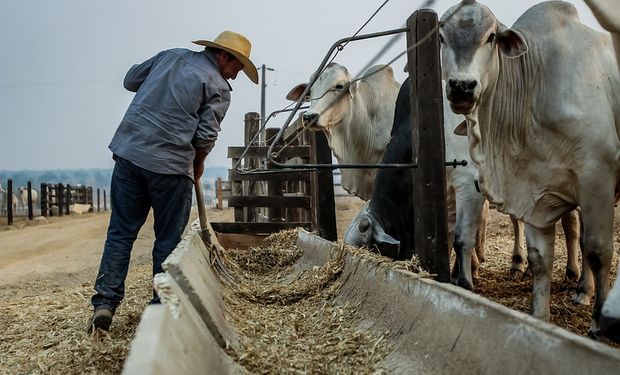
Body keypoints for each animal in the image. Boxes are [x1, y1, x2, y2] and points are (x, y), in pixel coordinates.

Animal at [440, 0, 620, 334]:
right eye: (442, 37)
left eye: (491, 37)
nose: (462, 87)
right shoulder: (534, 192)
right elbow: (539, 259)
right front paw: (539, 318)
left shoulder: (596, 178)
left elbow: (598, 251)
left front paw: (598, 326)